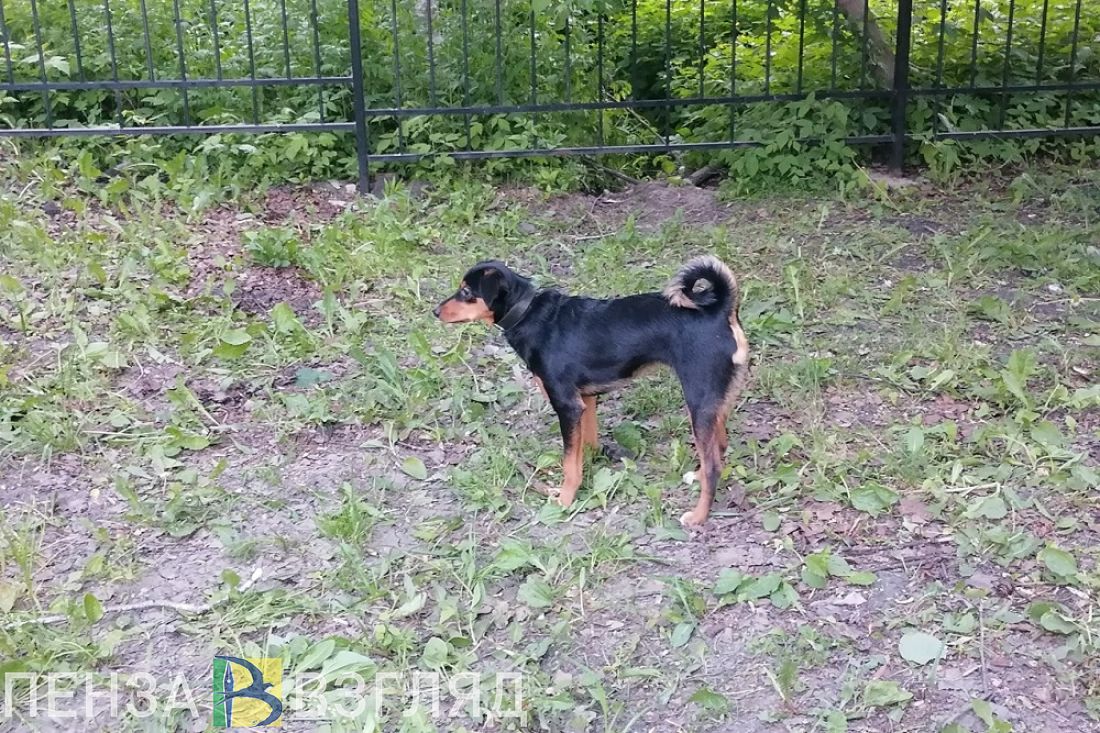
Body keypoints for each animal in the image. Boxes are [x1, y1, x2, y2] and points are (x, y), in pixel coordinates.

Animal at [433, 256, 749, 526]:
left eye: (465, 291)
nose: (435, 311)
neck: (528, 314)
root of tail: (720, 310)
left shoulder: (567, 405)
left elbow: (568, 462)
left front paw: (564, 499)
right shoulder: (585, 401)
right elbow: (583, 448)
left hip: (698, 398)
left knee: (714, 465)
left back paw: (698, 516)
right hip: (715, 400)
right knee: (719, 447)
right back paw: (697, 476)